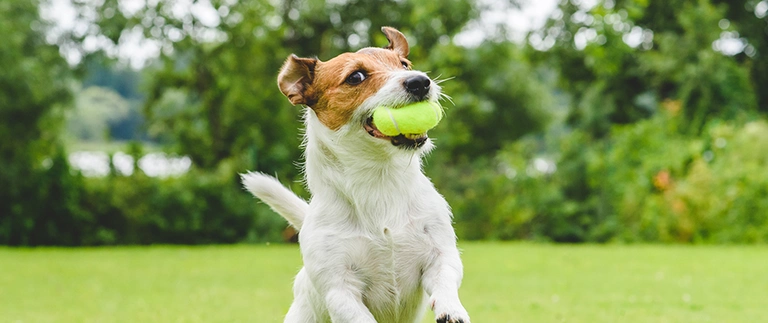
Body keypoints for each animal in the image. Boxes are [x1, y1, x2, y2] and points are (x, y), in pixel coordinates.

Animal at [242, 26, 468, 322]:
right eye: (356, 77)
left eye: (404, 65)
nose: (420, 81)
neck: (379, 179)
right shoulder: (340, 290)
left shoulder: (440, 255)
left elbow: (445, 280)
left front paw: (451, 309)